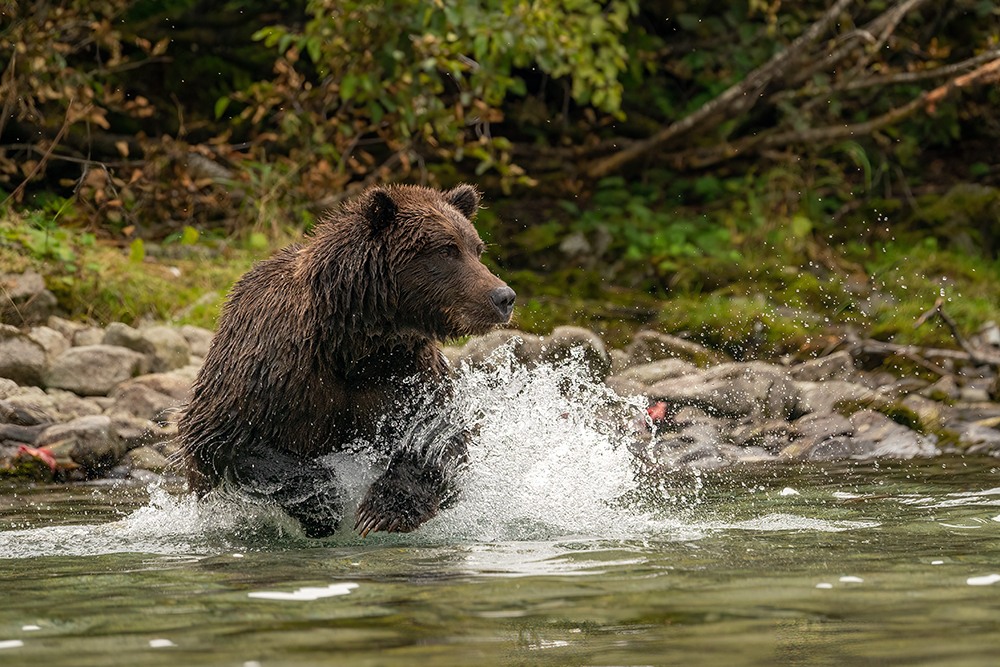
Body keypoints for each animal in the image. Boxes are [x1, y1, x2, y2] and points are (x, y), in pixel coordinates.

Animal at [178, 184, 515, 538]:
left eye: (476, 248)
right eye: (447, 250)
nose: (503, 297)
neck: (354, 345)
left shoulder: (407, 373)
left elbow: (439, 437)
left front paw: (382, 510)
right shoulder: (271, 368)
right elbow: (226, 437)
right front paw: (324, 503)